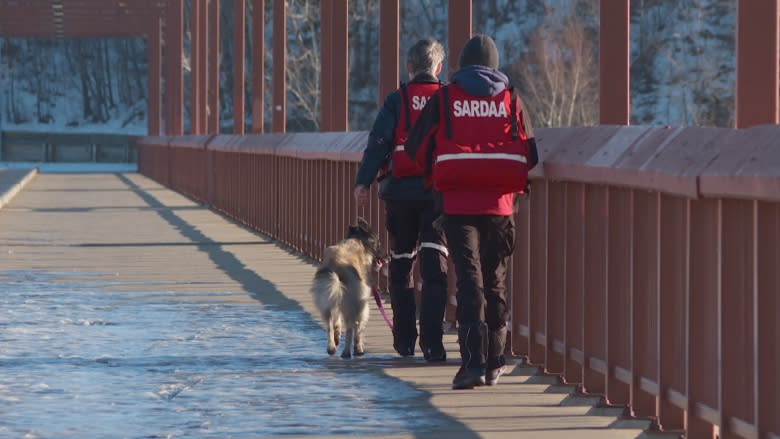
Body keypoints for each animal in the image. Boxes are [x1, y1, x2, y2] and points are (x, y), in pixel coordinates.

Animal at [310, 218, 386, 360]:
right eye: (379, 242)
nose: (387, 256)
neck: (358, 240)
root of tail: (336, 268)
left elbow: (337, 322)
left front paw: (337, 337)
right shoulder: (360, 302)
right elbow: (358, 327)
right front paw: (358, 348)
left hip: (327, 298)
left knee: (329, 325)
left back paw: (332, 347)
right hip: (352, 303)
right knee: (351, 328)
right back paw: (347, 352)